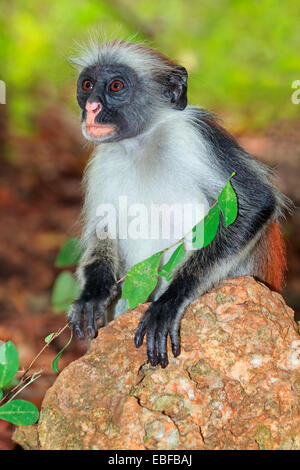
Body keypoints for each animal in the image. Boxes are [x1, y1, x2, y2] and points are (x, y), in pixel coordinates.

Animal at [67, 39, 290, 368]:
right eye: (87, 85)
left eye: (116, 86)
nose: (92, 108)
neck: (140, 145)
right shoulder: (102, 161)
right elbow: (103, 229)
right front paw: (92, 294)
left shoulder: (193, 135)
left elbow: (256, 201)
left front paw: (170, 302)